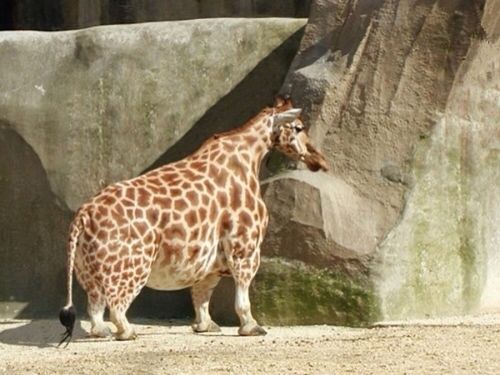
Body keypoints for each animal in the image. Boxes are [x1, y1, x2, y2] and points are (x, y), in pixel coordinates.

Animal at [58, 96, 328, 344]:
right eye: (299, 127)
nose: (320, 160)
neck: (249, 157)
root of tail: (83, 216)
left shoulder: (212, 258)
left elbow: (201, 294)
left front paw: (205, 326)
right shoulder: (245, 247)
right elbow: (241, 297)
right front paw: (251, 327)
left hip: (87, 269)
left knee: (95, 307)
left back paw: (102, 332)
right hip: (131, 265)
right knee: (116, 306)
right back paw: (128, 332)